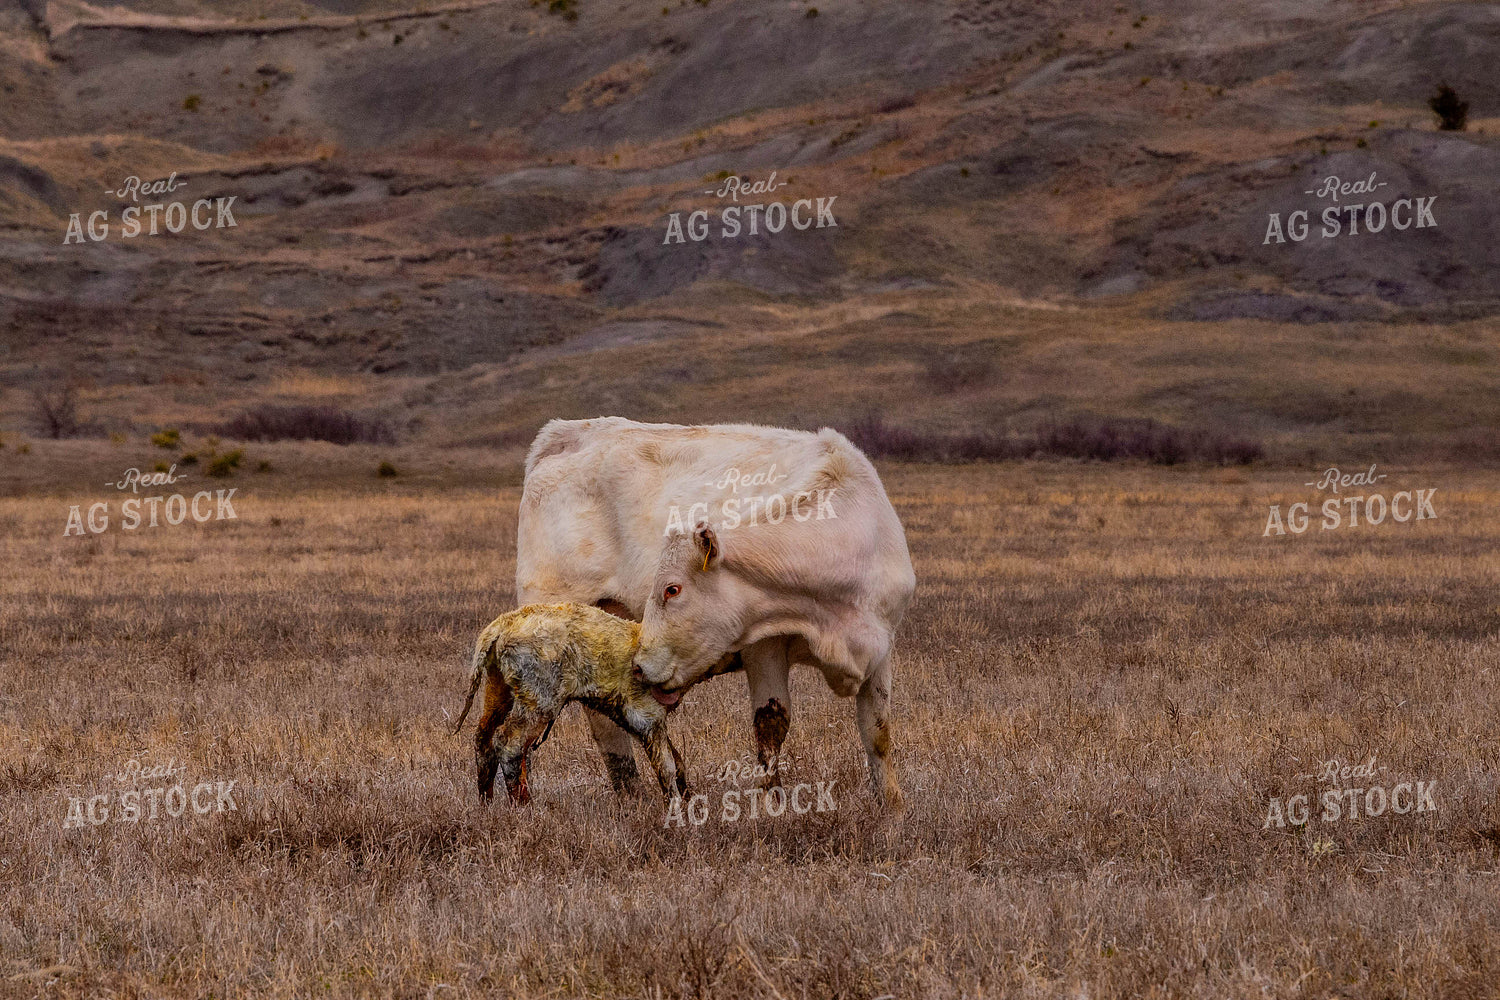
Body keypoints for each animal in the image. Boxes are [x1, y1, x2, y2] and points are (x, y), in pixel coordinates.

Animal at [516, 417, 916, 807]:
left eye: (672, 588)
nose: (639, 667)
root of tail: (568, 432)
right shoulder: (763, 647)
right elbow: (771, 725)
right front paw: (776, 806)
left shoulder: (882, 647)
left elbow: (877, 732)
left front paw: (891, 807)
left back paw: (642, 795)